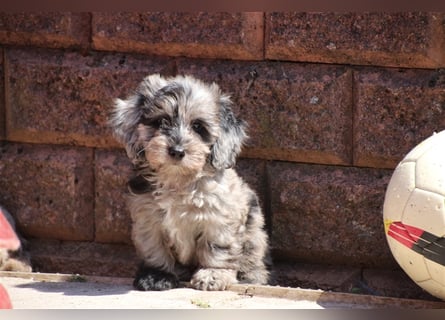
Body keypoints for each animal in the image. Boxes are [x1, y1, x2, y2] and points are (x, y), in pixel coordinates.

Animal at [110, 74, 270, 292]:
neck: (178, 180)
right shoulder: (147, 217)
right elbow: (154, 247)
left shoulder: (220, 217)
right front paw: (157, 275)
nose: (177, 151)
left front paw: (213, 274)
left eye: (198, 127)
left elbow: (217, 248)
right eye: (161, 121)